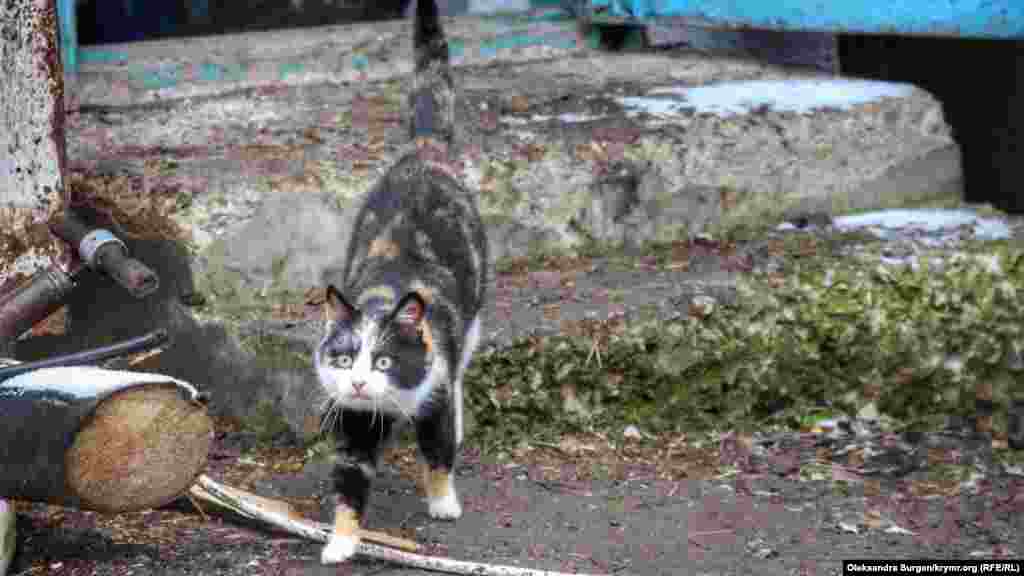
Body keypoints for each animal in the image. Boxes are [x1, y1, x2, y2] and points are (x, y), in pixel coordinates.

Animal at [311, 0, 487, 561]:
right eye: (346, 360)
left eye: (385, 360)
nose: (360, 381)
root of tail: (424, 150)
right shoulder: (353, 422)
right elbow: (350, 481)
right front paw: (342, 542)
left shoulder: (434, 395)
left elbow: (438, 453)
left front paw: (444, 503)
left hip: (472, 321)